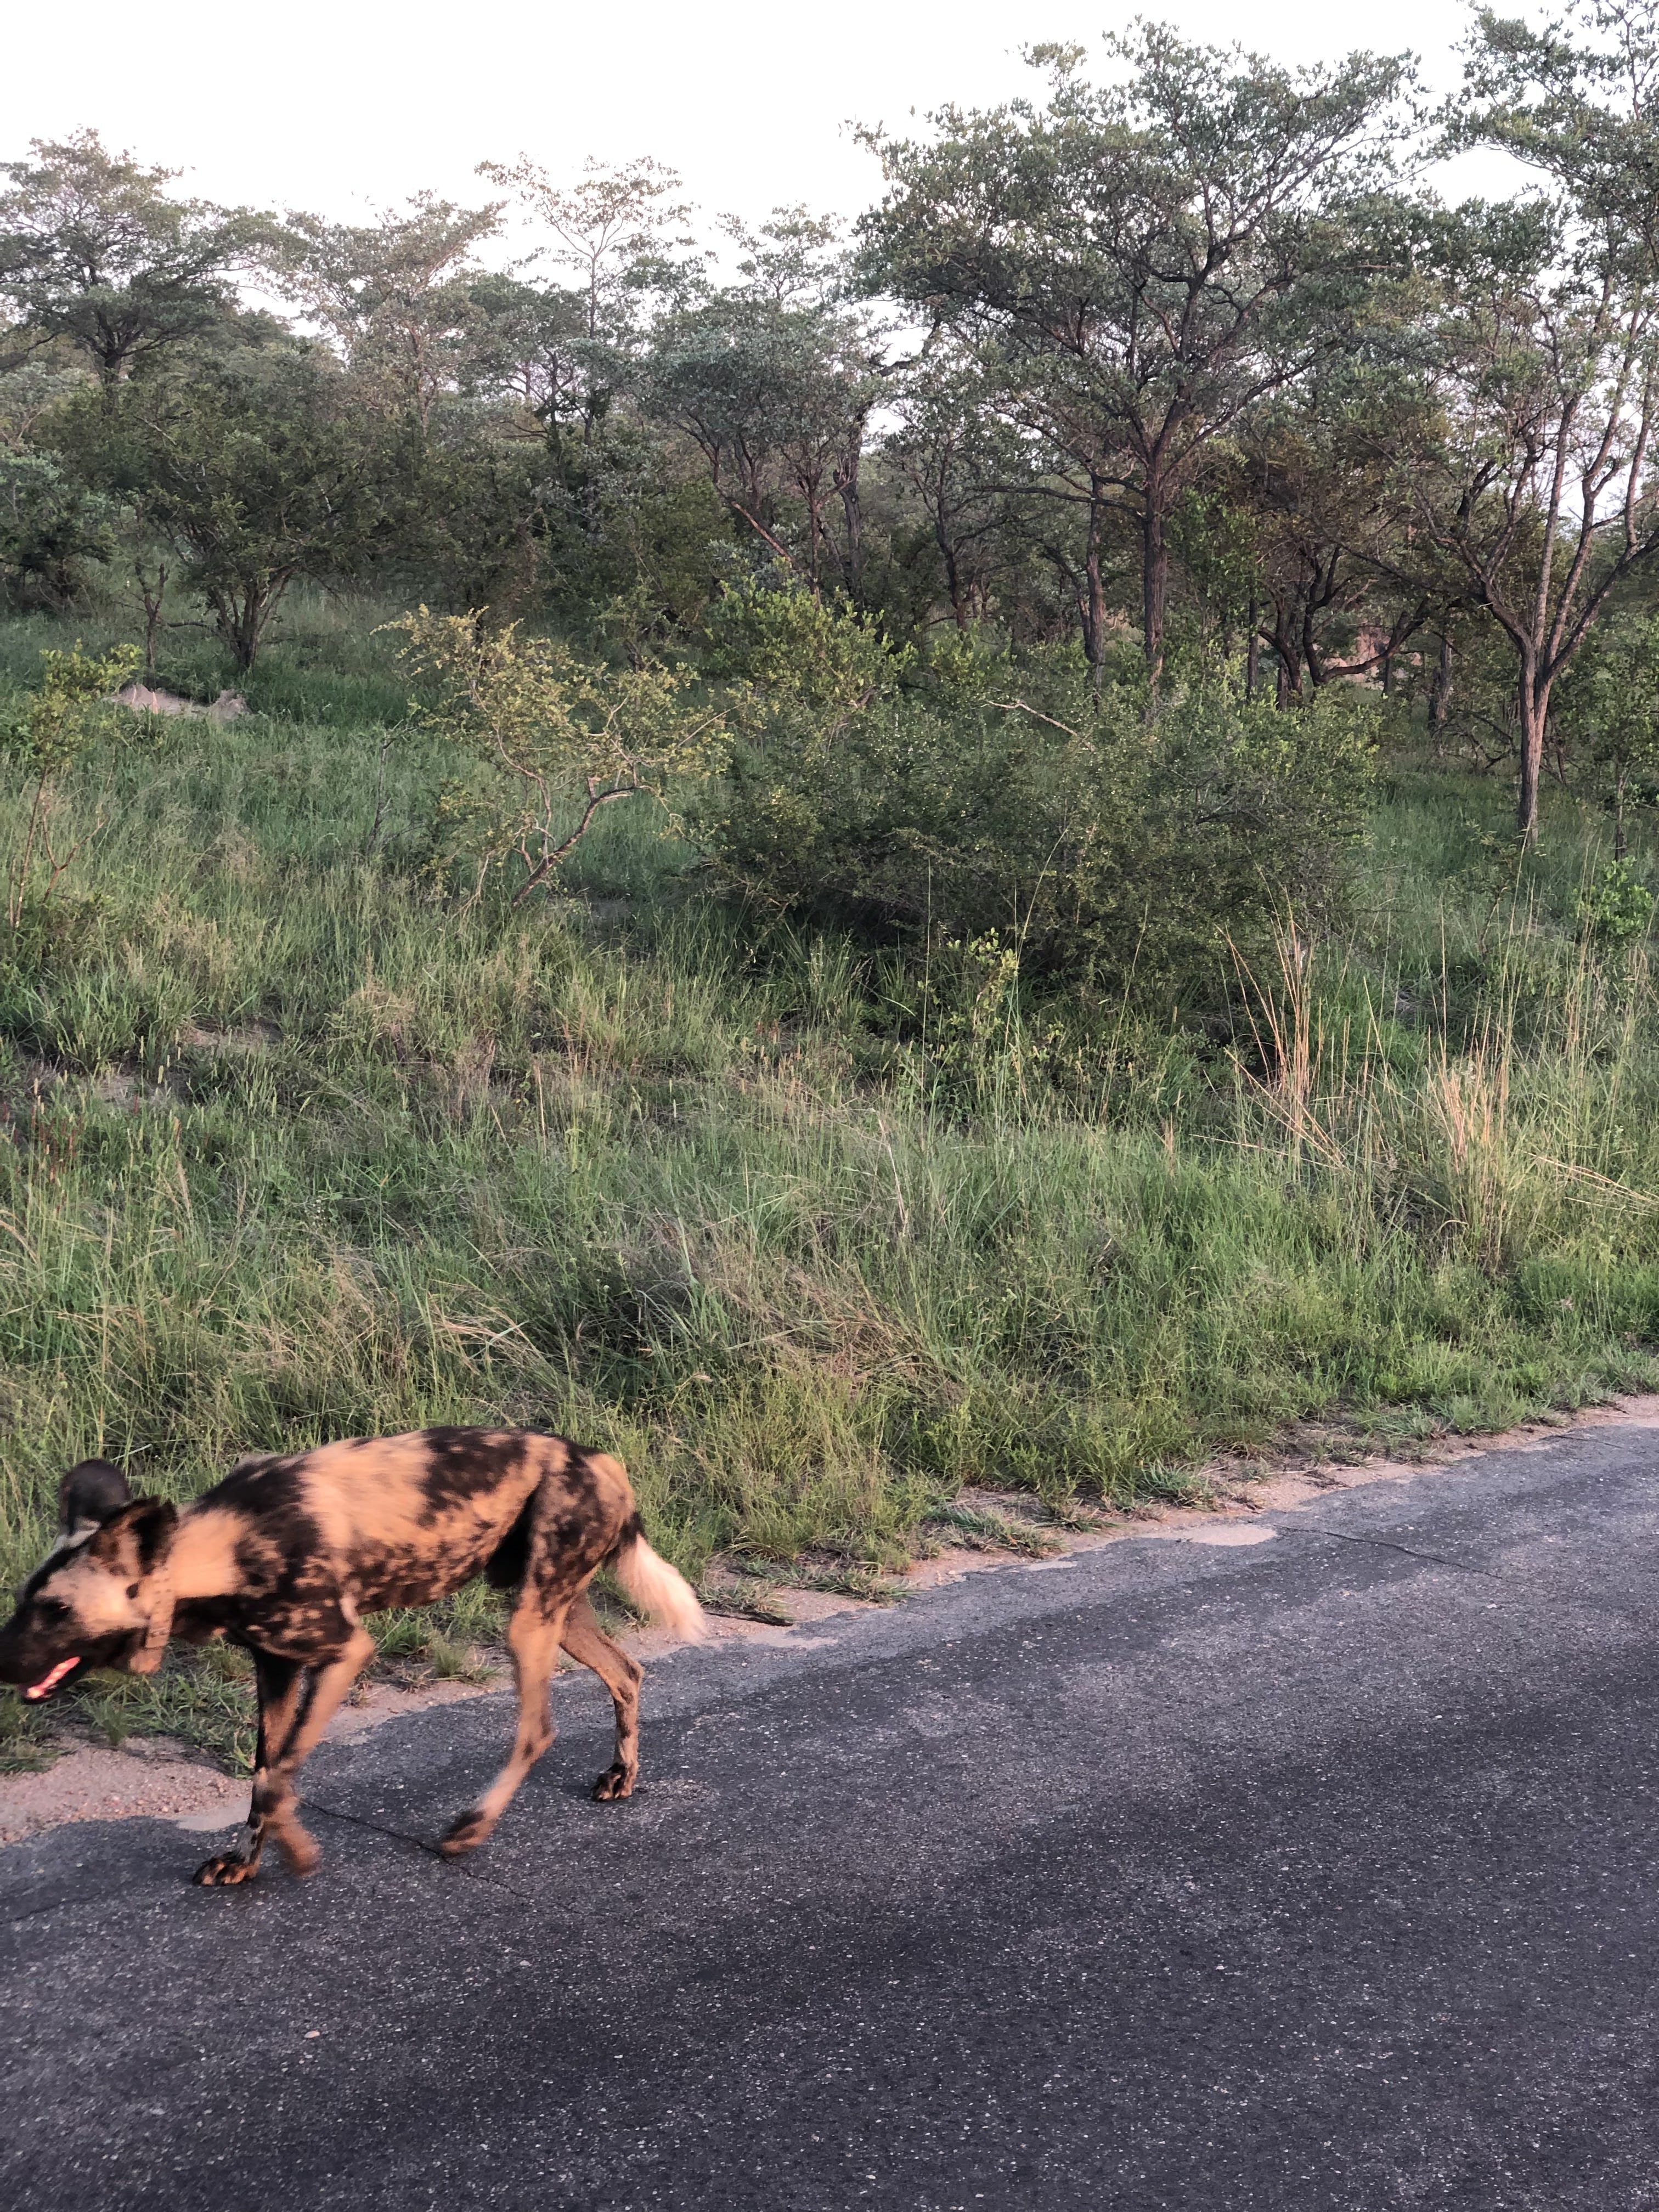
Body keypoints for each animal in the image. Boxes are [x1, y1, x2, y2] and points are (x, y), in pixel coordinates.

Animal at [0, 1433, 708, 1884]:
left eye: (57, 1611)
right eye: (24, 1600)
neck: (219, 1552)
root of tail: (604, 1462)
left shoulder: (343, 1650)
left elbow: (278, 1772)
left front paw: (297, 1854)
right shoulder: (276, 1665)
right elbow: (265, 1770)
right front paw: (248, 1860)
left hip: (529, 1621)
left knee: (538, 1729)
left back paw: (469, 1830)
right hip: (555, 1613)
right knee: (627, 1672)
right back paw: (621, 1777)